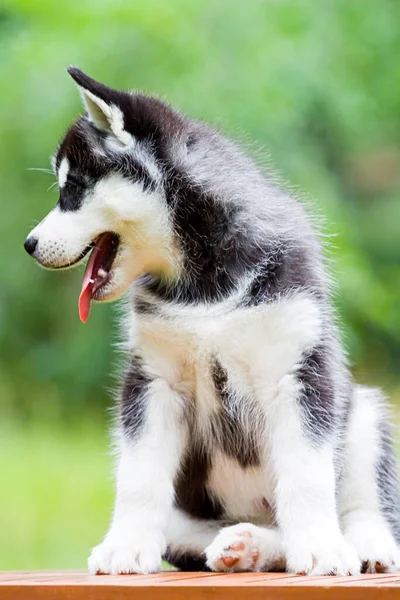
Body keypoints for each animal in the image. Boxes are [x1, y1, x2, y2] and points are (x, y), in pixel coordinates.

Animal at [25, 69, 400, 576]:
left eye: (74, 190)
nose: (29, 244)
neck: (202, 284)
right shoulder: (154, 382)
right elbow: (138, 477)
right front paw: (126, 546)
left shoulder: (299, 372)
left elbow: (306, 476)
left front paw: (321, 548)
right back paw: (246, 546)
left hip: (365, 412)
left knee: (361, 503)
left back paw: (365, 545)